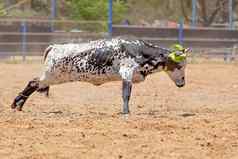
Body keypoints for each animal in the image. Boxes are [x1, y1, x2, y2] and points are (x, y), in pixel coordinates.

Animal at [11, 37, 190, 114]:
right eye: (180, 65)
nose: (182, 83)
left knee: (34, 84)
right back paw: (16, 103)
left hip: (52, 77)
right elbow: (126, 95)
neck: (139, 50)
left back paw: (19, 105)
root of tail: (54, 47)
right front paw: (126, 112)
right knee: (33, 83)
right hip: (51, 76)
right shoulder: (126, 73)